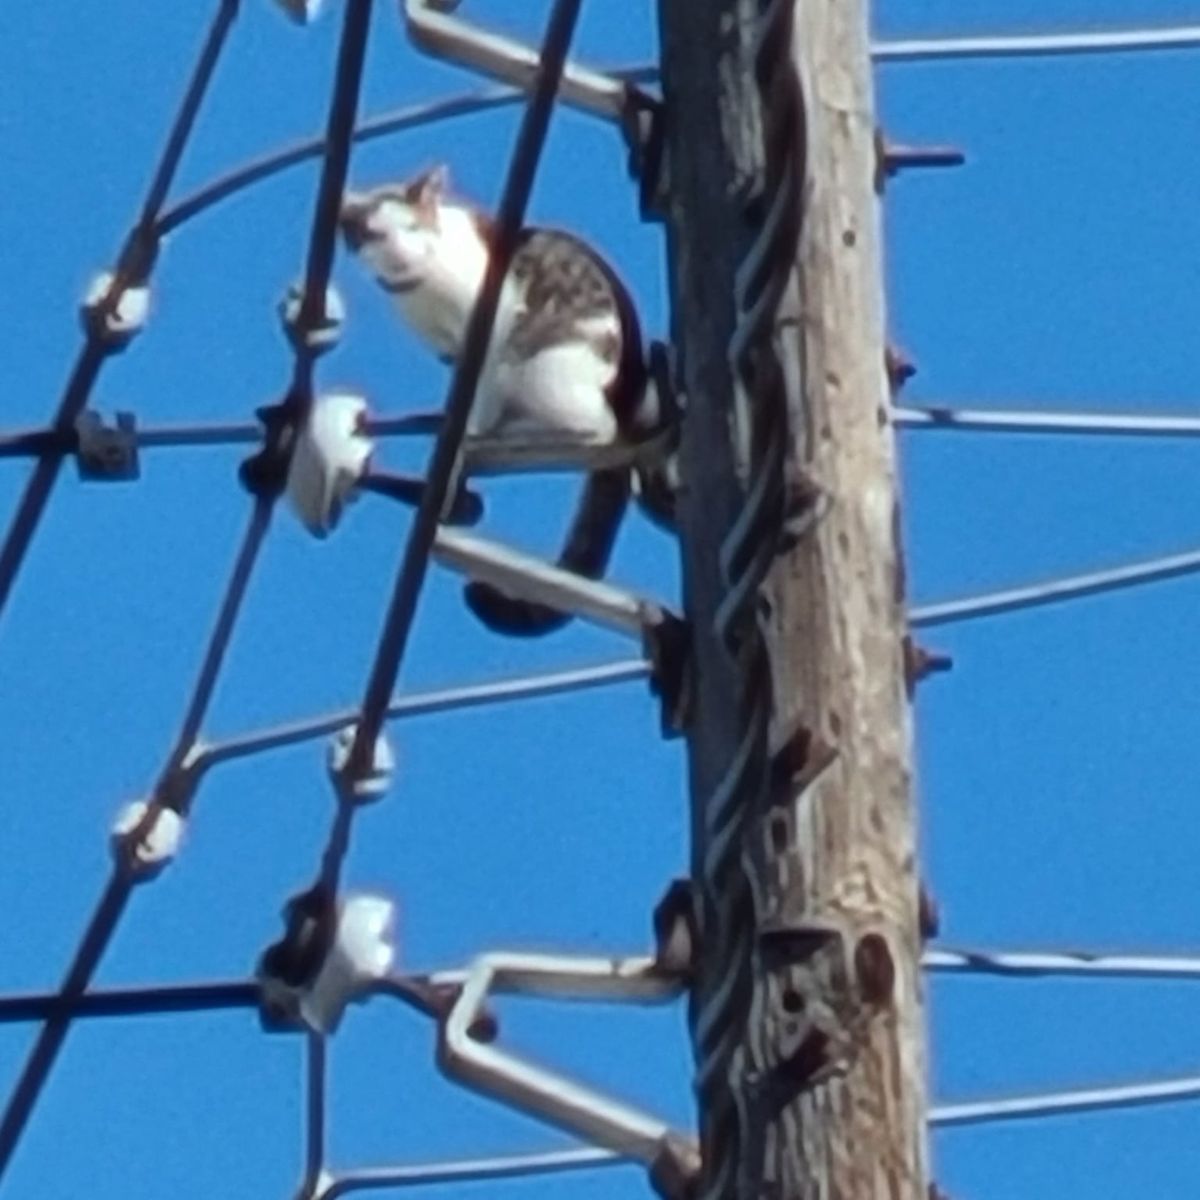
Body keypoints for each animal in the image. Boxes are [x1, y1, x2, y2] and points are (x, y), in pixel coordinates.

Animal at [340, 170, 676, 643]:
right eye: (375, 234)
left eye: (413, 227)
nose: (403, 257)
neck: (425, 296)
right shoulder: (451, 352)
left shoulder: (489, 330)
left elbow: (480, 394)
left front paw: (467, 429)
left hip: (542, 360)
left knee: (596, 427)